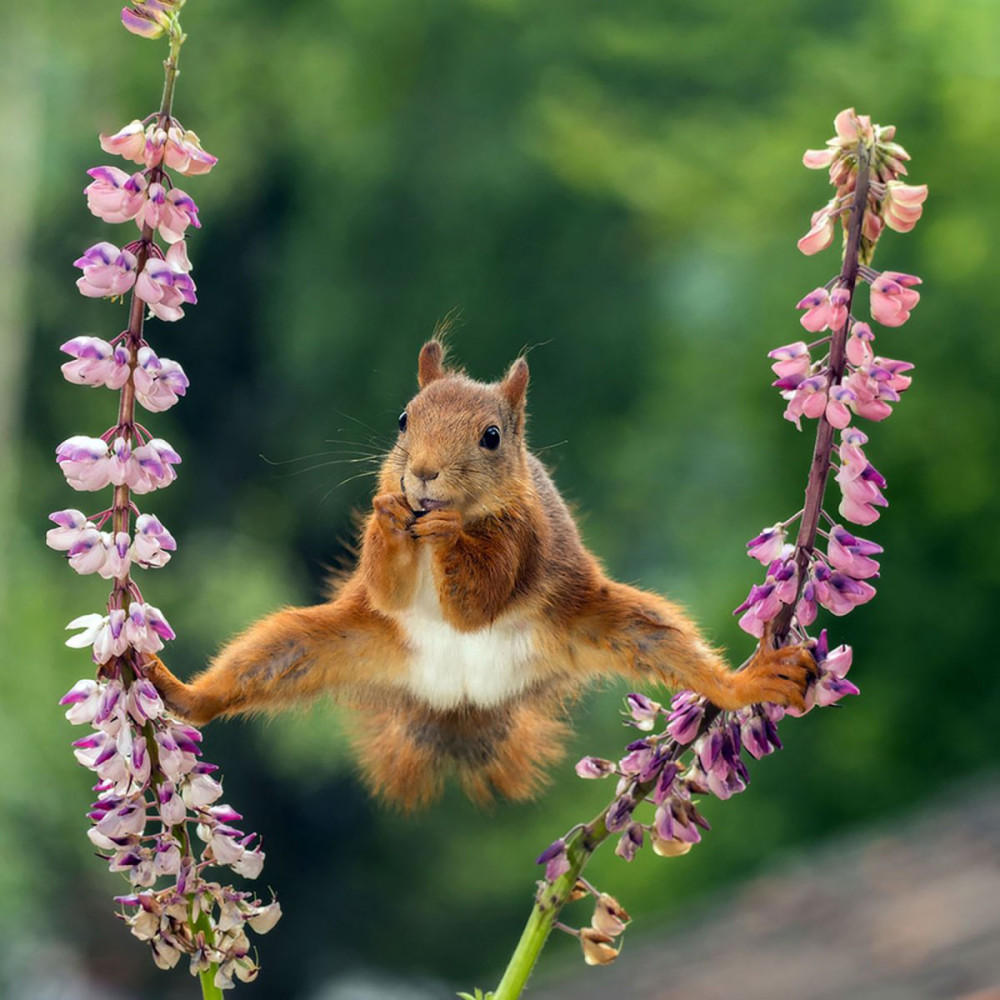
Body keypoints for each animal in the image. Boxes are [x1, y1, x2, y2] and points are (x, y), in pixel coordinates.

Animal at [150, 340, 820, 808]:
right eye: (402, 419)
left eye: (492, 437)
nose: (421, 474)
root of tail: (461, 700)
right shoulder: (385, 581)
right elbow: (389, 587)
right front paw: (390, 517)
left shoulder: (523, 541)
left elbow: (478, 601)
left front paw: (449, 533)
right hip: (328, 642)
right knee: (254, 667)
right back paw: (175, 690)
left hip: (606, 623)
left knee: (672, 649)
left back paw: (749, 681)